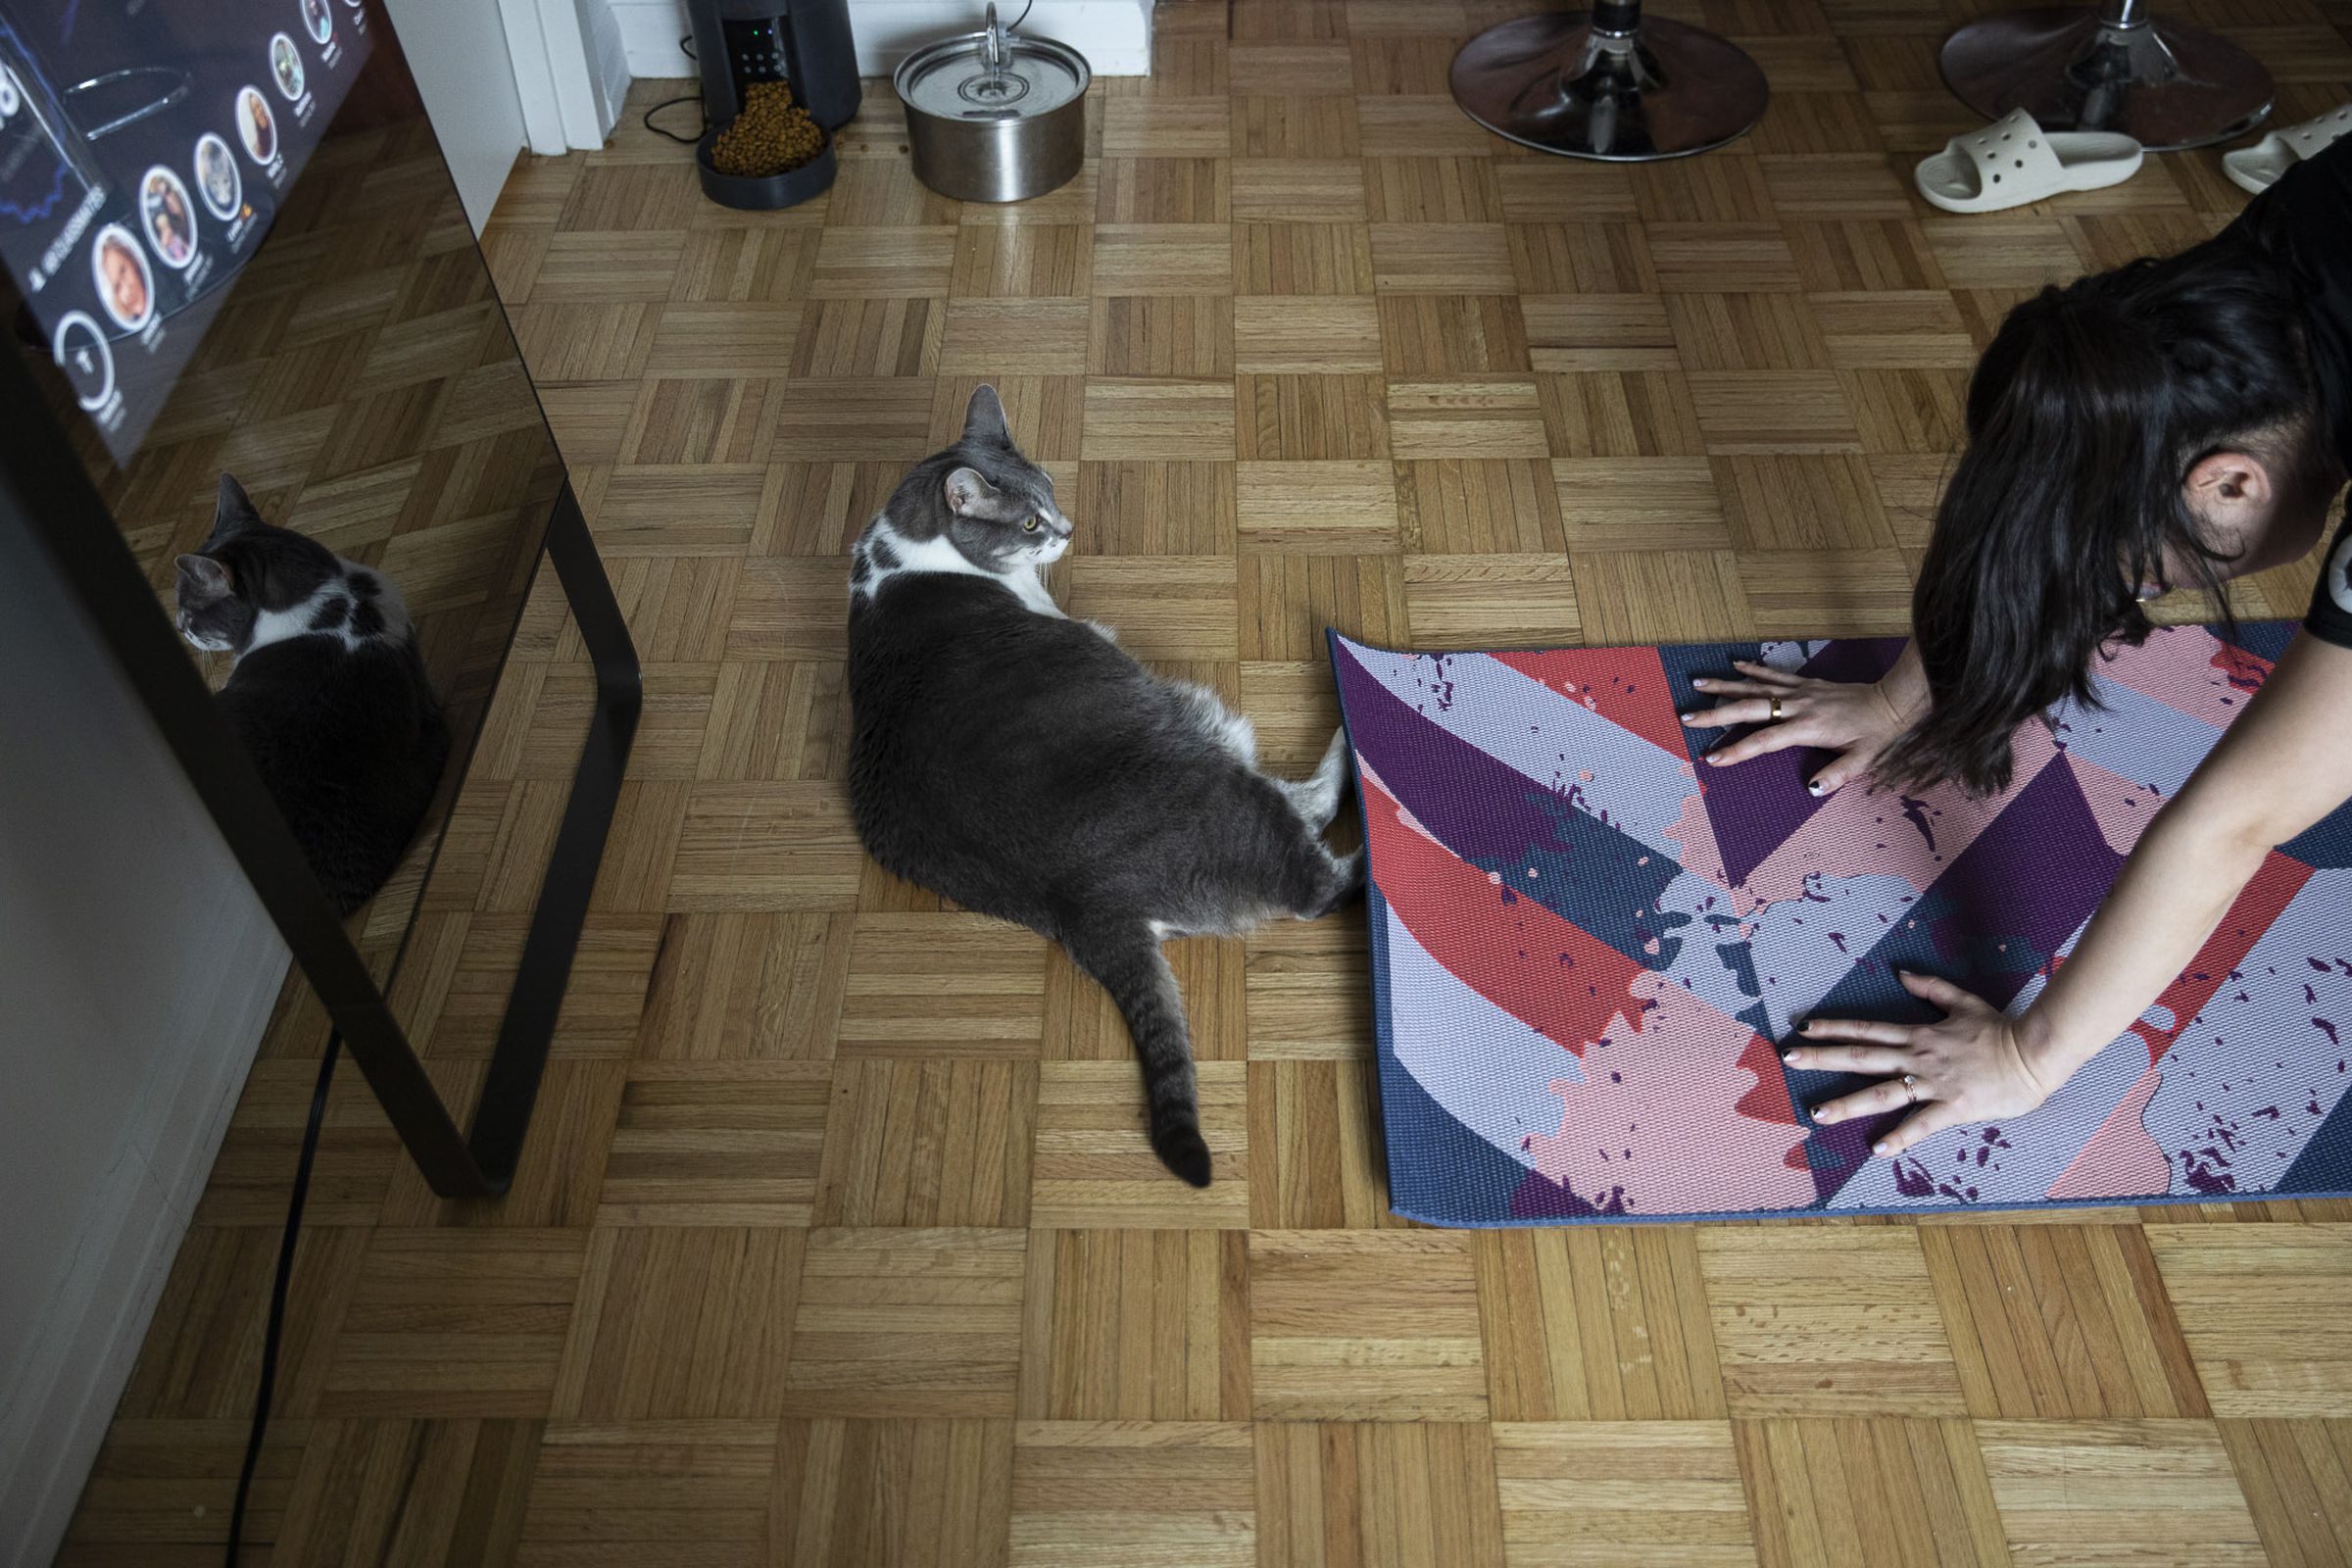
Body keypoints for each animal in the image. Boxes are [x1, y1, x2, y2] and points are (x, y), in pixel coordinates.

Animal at [847, 385, 1364, 1184]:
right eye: (1028, 522)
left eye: (1051, 493)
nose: (1065, 529)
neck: (907, 555)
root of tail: (1084, 904)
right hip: (1205, 748)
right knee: (1320, 869)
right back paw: (1366, 770)